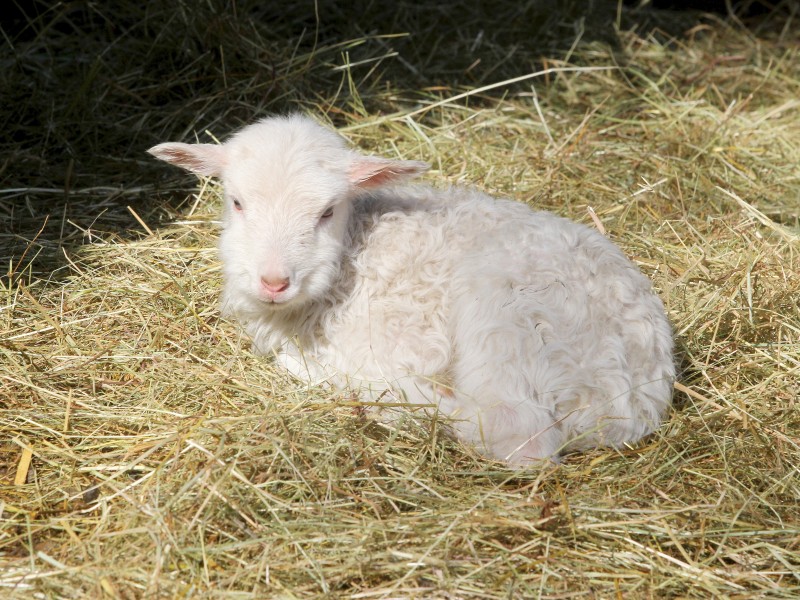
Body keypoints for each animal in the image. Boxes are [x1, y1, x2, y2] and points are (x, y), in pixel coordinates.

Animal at [150, 115, 676, 466]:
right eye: (237, 202)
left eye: (327, 211)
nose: (275, 281)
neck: (357, 249)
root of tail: (636, 398)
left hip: (508, 320)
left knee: (517, 435)